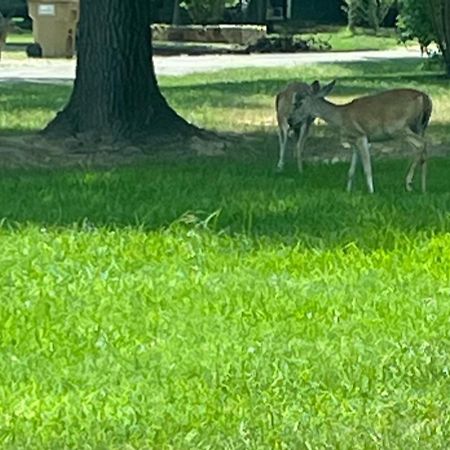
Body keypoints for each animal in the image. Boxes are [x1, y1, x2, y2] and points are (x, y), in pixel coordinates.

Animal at [288, 81, 432, 193]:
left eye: (299, 103)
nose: (290, 120)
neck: (340, 117)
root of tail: (424, 98)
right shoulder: (353, 142)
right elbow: (351, 171)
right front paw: (348, 191)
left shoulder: (362, 136)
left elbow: (367, 168)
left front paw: (371, 191)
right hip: (420, 127)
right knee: (423, 149)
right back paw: (423, 189)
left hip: (397, 127)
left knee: (421, 144)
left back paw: (408, 183)